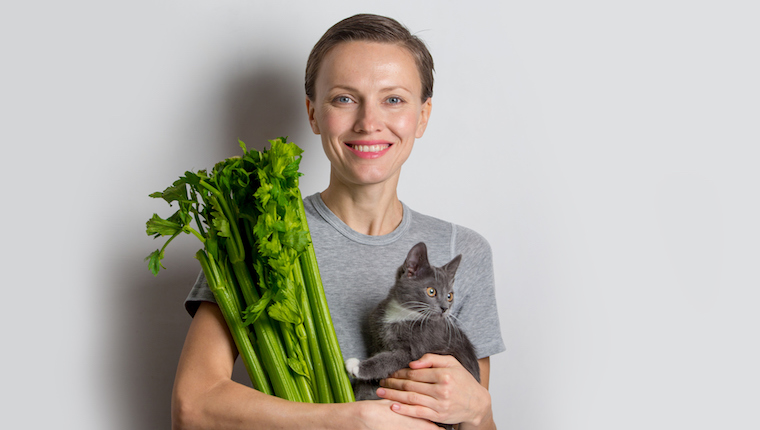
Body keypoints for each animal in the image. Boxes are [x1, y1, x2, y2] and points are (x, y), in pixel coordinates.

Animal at [346, 242, 478, 426]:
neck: (402, 315)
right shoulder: (376, 338)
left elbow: (389, 360)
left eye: (449, 296)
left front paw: (357, 366)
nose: (445, 308)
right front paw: (361, 392)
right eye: (431, 291)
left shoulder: (415, 352)